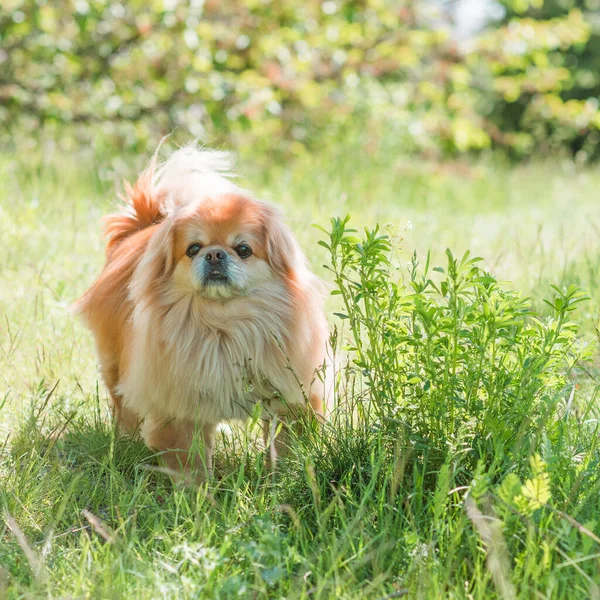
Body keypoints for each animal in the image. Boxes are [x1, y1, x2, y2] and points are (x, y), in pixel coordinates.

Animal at [74, 145, 330, 478]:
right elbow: (191, 460)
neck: (225, 326)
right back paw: (127, 444)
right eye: (193, 248)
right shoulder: (181, 407)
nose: (215, 254)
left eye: (243, 249)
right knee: (124, 408)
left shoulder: (288, 395)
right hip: (117, 366)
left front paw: (282, 478)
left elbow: (285, 446)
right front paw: (199, 490)